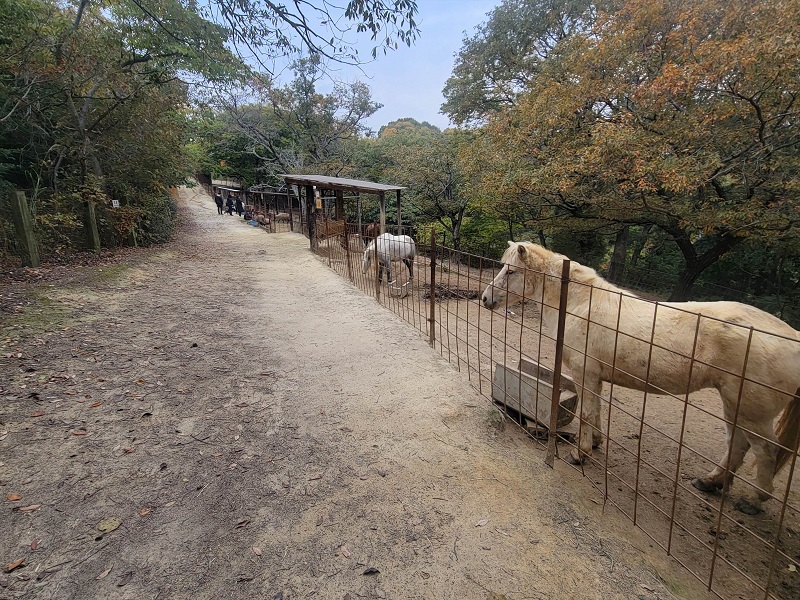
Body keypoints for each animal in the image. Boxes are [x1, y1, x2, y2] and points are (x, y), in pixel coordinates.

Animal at [482, 241, 800, 514]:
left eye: (511, 272)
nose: (485, 299)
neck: (580, 303)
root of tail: (794, 337)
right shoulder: (596, 377)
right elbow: (597, 411)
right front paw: (595, 443)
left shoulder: (585, 373)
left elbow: (586, 413)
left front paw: (580, 454)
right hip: (735, 405)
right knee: (738, 445)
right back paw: (710, 482)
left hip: (751, 413)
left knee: (765, 450)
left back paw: (753, 501)